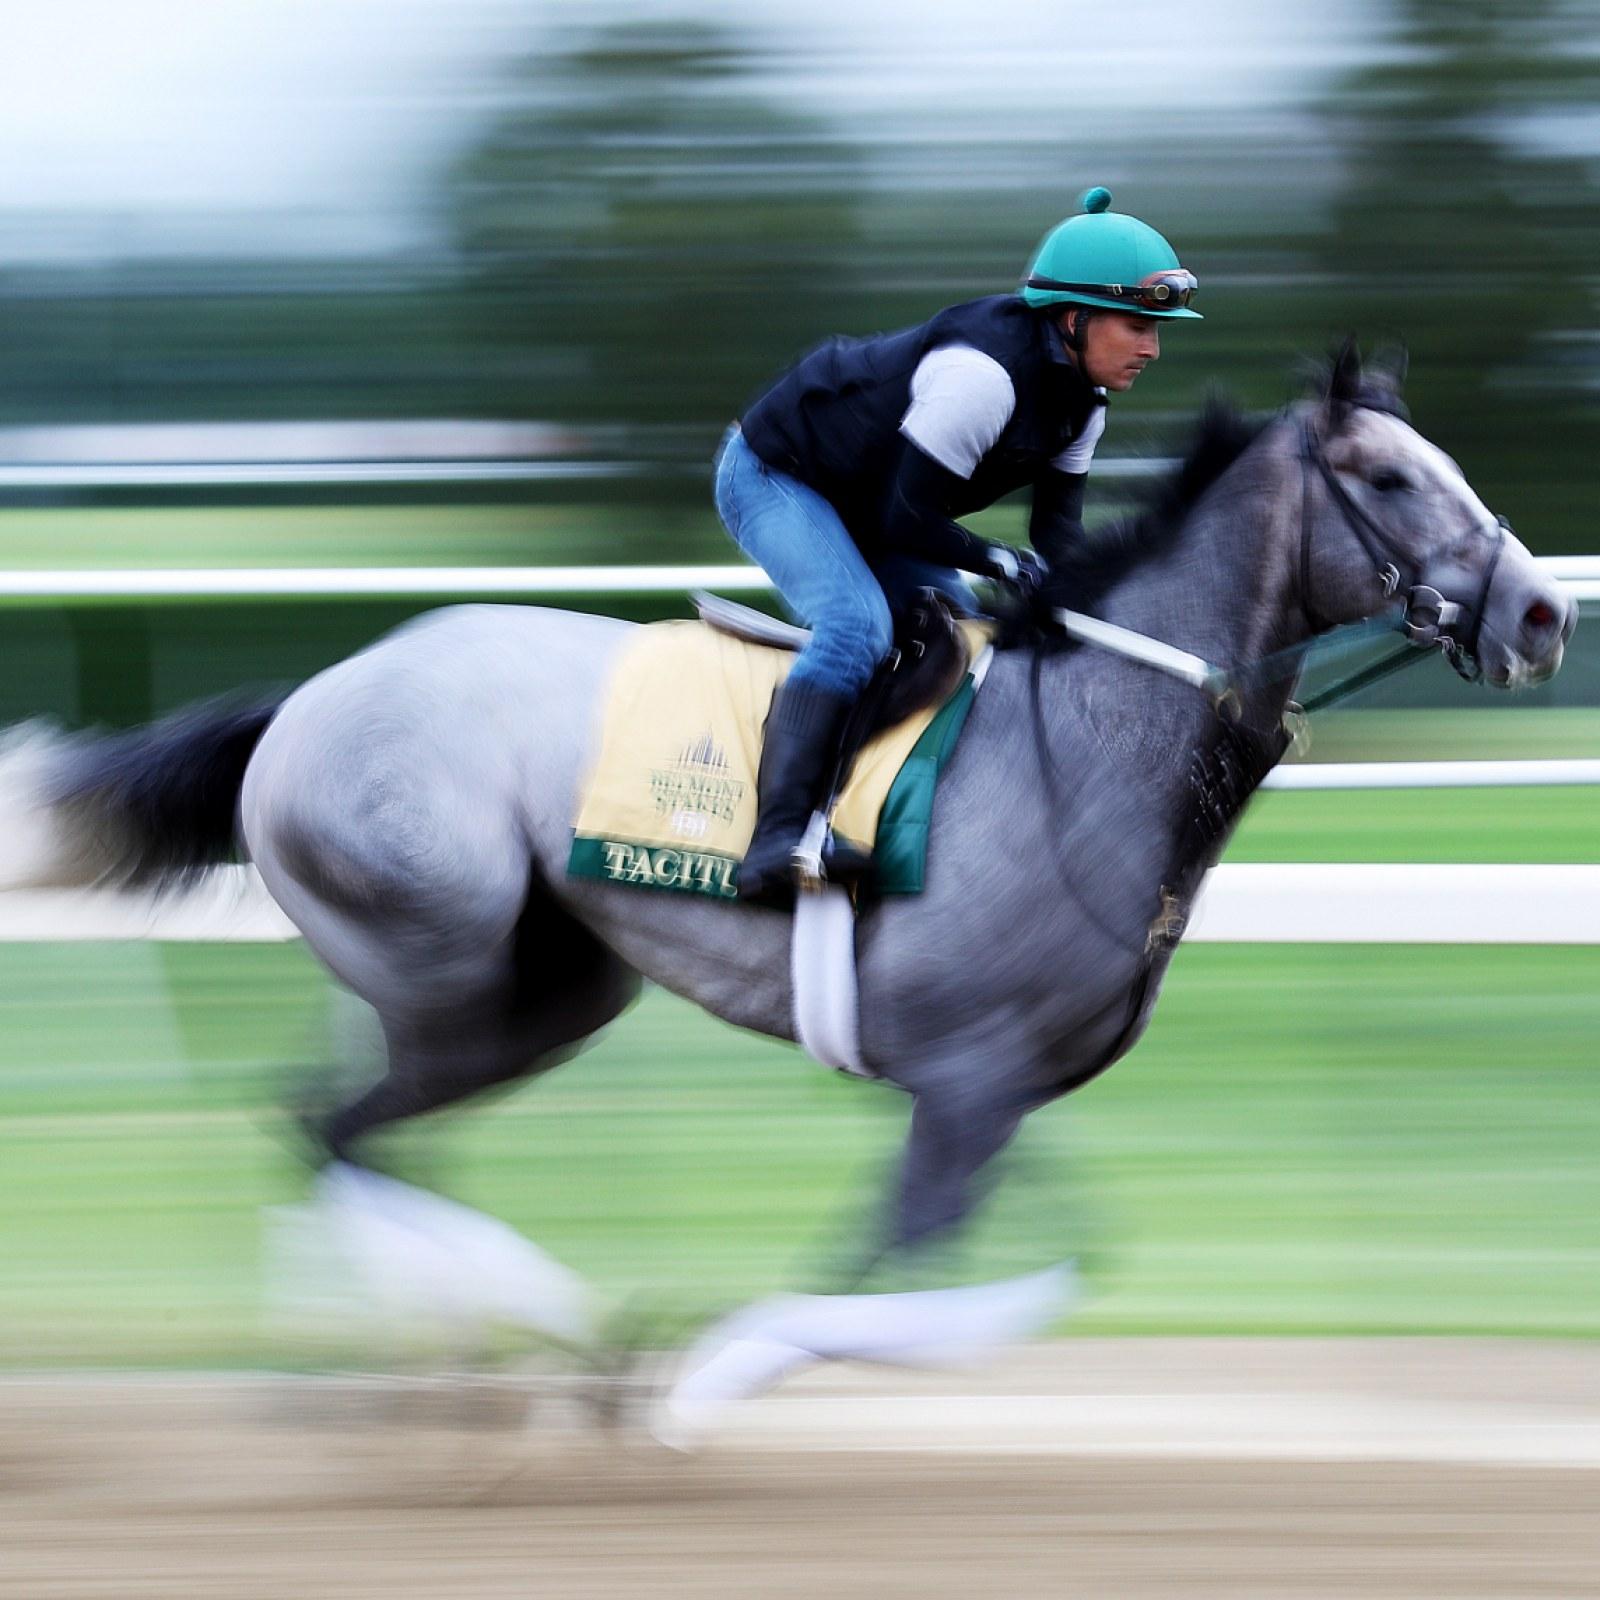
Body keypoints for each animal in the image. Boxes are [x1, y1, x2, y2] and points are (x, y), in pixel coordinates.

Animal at [0, 343, 1576, 1441]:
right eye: (1390, 480)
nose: (1545, 611)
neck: (1085, 742)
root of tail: (309, 698)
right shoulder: (966, 1081)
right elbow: (897, 1258)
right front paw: (709, 1370)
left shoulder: (992, 1083)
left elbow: (1032, 1259)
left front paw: (702, 1360)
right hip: (447, 971)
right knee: (333, 1128)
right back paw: (535, 1343)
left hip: (524, 988)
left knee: (347, 1132)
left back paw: (426, 1366)